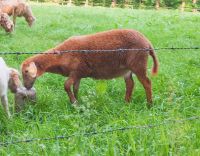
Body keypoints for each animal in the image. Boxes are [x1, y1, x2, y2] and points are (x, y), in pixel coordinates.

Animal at [21, 29, 159, 107]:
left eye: (26, 71)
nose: (26, 87)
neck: (60, 57)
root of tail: (147, 42)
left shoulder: (77, 71)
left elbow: (66, 85)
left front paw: (74, 103)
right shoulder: (78, 75)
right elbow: (75, 88)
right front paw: (76, 101)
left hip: (138, 64)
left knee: (147, 83)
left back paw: (149, 104)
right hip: (127, 69)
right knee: (130, 84)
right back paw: (126, 103)